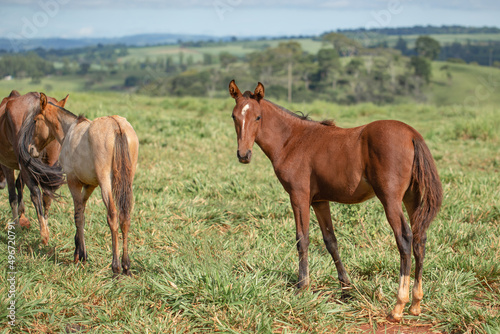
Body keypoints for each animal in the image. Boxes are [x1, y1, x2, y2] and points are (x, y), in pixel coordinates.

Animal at [0, 90, 66, 244]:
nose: (0, 184)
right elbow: (20, 184)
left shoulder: (7, 165)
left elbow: (13, 195)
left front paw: (17, 225)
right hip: (50, 159)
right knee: (47, 194)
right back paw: (45, 229)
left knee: (35, 193)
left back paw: (42, 234)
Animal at [19, 92, 140, 274]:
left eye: (35, 121)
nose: (31, 149)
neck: (70, 130)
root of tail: (117, 126)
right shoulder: (90, 185)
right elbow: (81, 211)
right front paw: (79, 250)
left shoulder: (73, 181)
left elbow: (77, 215)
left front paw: (81, 255)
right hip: (126, 182)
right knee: (125, 216)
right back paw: (126, 265)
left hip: (106, 183)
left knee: (112, 215)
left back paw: (116, 266)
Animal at [228, 80, 442, 320]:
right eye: (234, 116)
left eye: (258, 117)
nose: (243, 155)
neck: (292, 140)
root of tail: (412, 134)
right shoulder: (320, 201)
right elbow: (331, 242)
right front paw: (346, 289)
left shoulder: (299, 196)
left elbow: (302, 239)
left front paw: (302, 288)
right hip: (411, 197)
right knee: (419, 238)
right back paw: (416, 303)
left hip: (390, 199)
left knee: (404, 238)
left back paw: (398, 305)